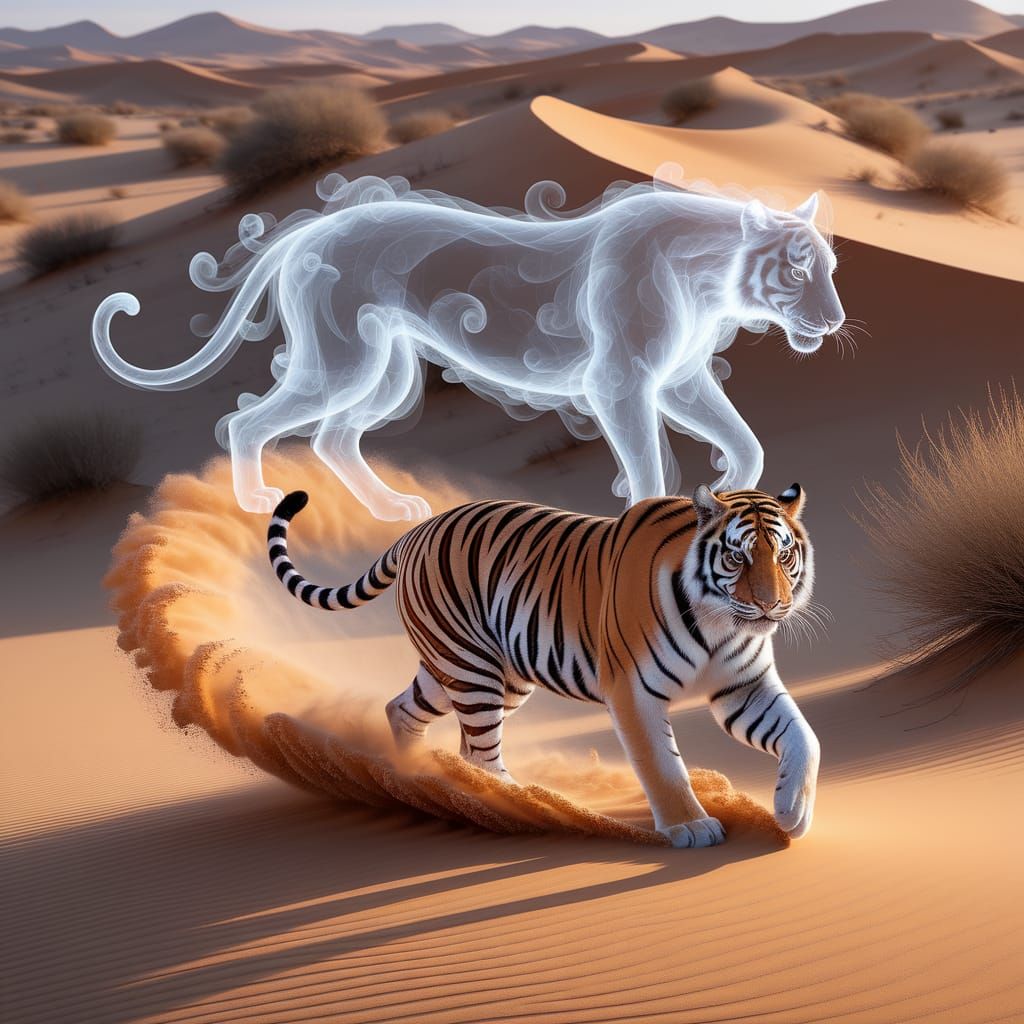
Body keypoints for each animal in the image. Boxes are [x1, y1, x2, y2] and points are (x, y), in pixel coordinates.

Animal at [267, 482, 820, 847]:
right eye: (737, 557)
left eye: (784, 555)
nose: (772, 605)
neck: (720, 624)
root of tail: (416, 530)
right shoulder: (633, 691)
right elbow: (662, 765)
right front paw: (690, 826)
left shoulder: (744, 687)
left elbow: (803, 738)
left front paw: (791, 811)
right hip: (472, 671)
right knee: (481, 754)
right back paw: (517, 804)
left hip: (475, 674)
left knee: (405, 712)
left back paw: (416, 779)